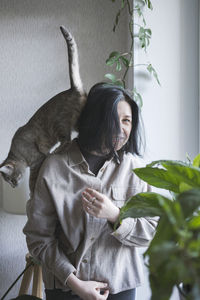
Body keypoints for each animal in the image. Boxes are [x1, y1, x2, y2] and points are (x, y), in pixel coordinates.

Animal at [0, 25, 87, 195]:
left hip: (59, 125)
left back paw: (55, 151)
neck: (18, 153)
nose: (13, 186)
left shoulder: (36, 161)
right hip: (77, 124)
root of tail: (73, 88)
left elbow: (32, 181)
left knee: (67, 141)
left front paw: (32, 192)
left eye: (11, 180)